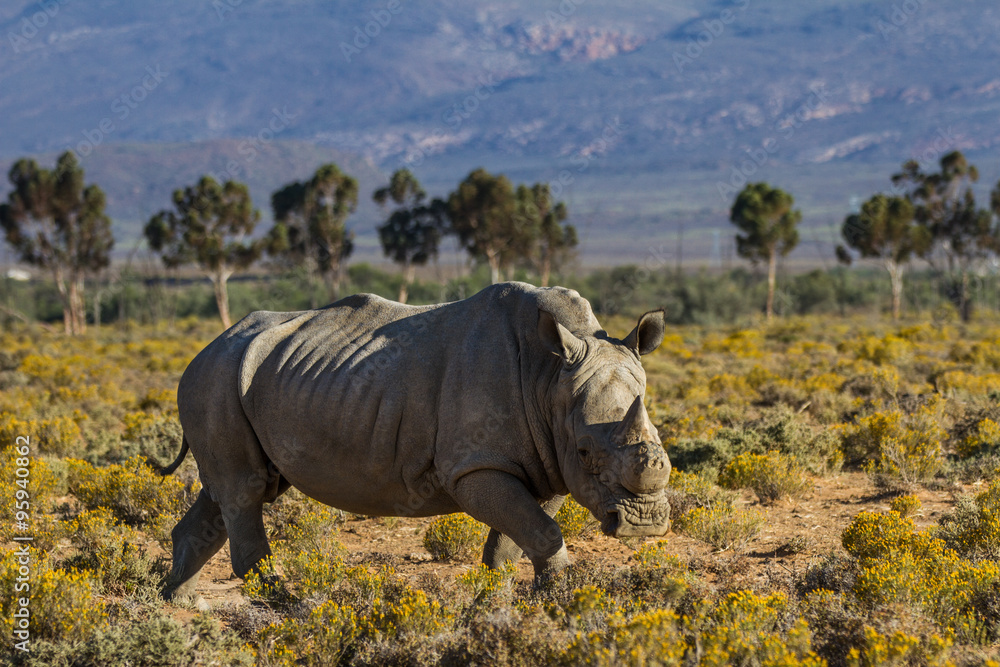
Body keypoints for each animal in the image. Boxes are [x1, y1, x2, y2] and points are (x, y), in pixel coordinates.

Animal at [161, 282, 671, 601]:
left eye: (663, 450)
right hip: (215, 376)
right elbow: (541, 533)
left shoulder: (545, 464)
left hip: (245, 376)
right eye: (586, 452)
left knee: (231, 493)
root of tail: (205, 347)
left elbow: (517, 541)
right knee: (245, 491)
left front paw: (500, 604)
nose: (642, 525)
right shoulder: (475, 466)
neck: (549, 376)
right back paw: (286, 608)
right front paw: (562, 605)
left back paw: (177, 604)